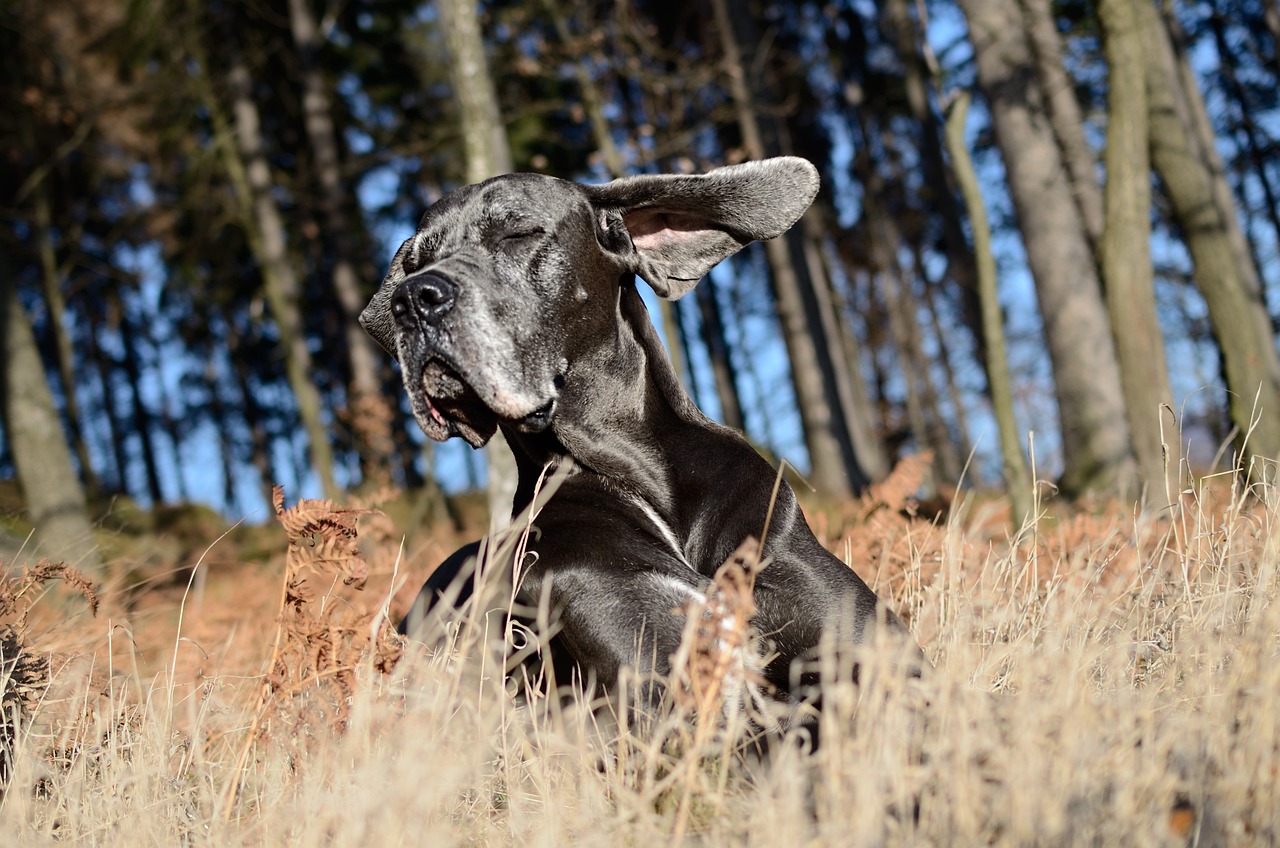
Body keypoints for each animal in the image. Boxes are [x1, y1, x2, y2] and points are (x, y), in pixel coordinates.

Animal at [358, 157, 921, 717]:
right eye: (414, 262)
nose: (413, 298)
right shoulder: (669, 692)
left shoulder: (880, 658)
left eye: (517, 233)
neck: (638, 478)